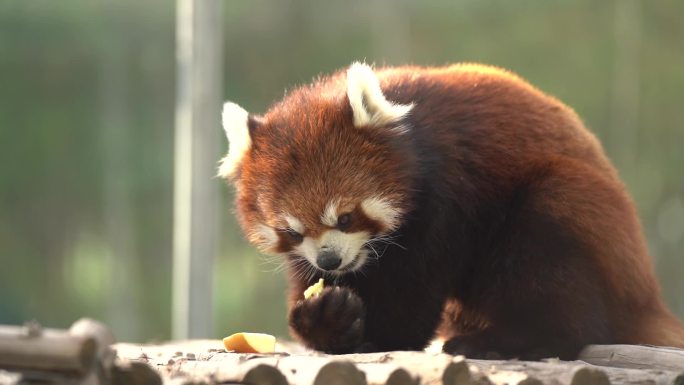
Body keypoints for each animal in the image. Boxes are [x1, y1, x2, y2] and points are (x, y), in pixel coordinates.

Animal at [220, 61, 684, 358]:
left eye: (346, 217)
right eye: (293, 232)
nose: (330, 260)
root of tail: (646, 295)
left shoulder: (448, 194)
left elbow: (417, 282)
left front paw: (384, 336)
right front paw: (326, 315)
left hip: (582, 217)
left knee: (550, 263)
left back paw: (508, 340)